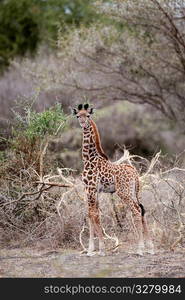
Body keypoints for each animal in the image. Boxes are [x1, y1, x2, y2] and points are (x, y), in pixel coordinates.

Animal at [71, 103, 154, 255]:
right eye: (78, 116)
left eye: (88, 115)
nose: (83, 124)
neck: (88, 158)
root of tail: (134, 172)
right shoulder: (93, 190)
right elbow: (91, 214)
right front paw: (91, 249)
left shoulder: (90, 189)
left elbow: (93, 214)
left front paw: (101, 249)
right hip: (133, 192)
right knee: (142, 209)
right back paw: (150, 248)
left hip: (123, 192)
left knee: (136, 211)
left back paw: (140, 248)